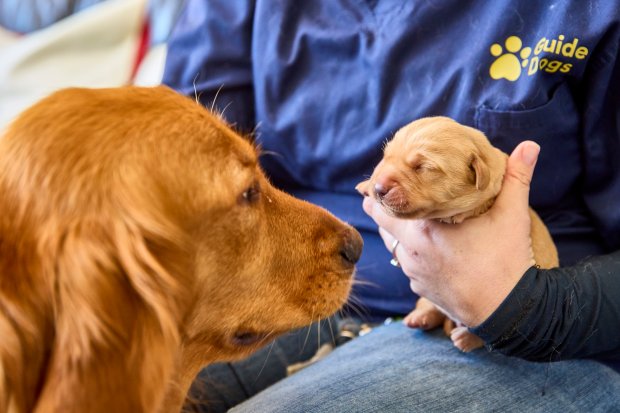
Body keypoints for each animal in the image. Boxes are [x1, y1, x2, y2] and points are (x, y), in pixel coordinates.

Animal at [356, 115, 560, 350]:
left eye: (423, 167)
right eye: (386, 156)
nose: (379, 189)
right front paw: (366, 185)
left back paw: (465, 338)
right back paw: (420, 317)